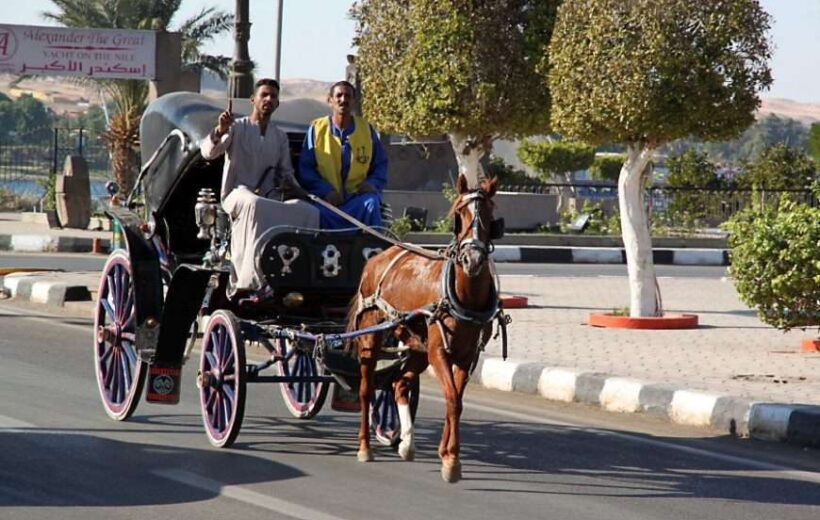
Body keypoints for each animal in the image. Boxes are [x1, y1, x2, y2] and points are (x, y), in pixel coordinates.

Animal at [346, 175, 506, 484]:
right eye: (459, 213)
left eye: (490, 213)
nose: (472, 260)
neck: (463, 296)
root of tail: (378, 257)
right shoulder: (439, 352)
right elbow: (452, 399)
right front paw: (452, 460)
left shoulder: (467, 357)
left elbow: (456, 400)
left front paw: (446, 453)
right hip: (371, 337)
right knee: (366, 389)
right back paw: (364, 447)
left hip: (416, 348)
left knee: (400, 383)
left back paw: (406, 443)